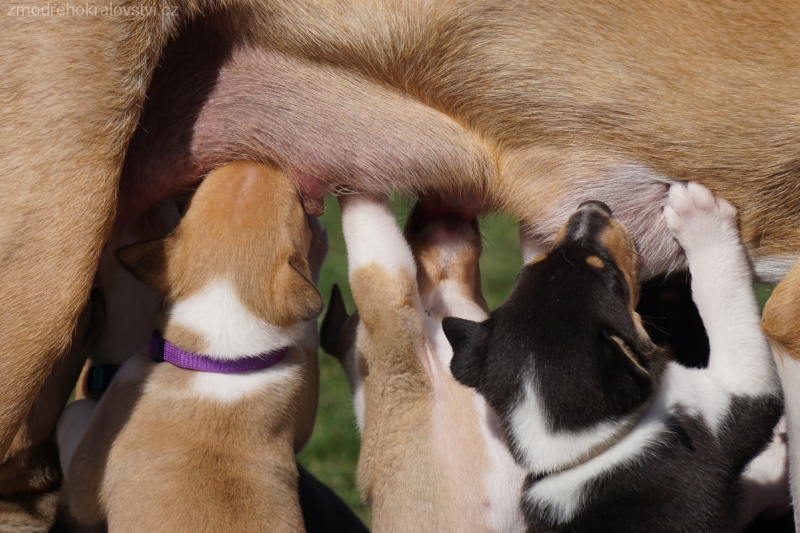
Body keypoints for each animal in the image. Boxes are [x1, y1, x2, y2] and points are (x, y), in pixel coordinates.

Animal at [446, 184, 784, 532]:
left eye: (529, 267)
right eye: (609, 278)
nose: (591, 206)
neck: (586, 444)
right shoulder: (734, 396)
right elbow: (722, 293)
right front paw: (698, 214)